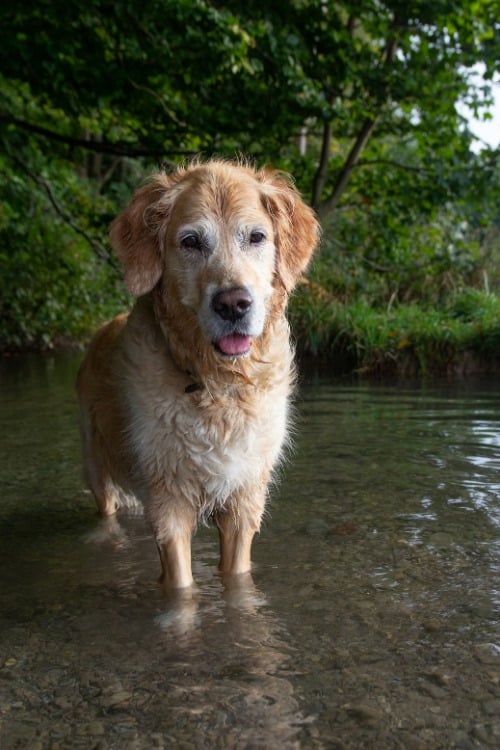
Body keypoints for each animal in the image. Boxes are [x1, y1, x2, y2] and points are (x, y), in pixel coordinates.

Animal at [78, 160, 320, 592]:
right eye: (191, 242)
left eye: (256, 237)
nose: (234, 304)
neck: (219, 383)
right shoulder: (167, 501)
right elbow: (180, 585)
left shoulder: (244, 500)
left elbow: (237, 574)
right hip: (96, 465)